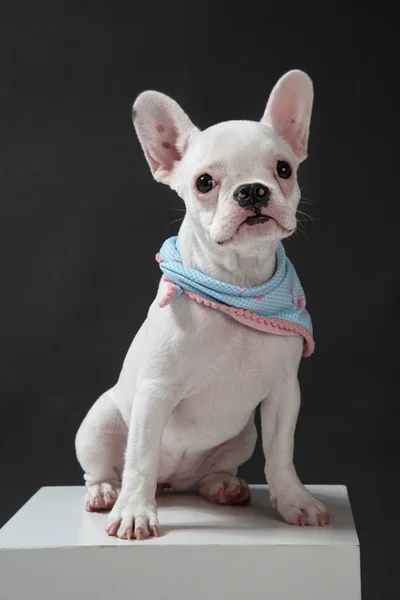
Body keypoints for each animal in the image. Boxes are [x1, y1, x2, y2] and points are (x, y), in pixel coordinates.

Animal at [76, 69, 332, 540]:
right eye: (204, 183)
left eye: (284, 169)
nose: (252, 191)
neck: (238, 287)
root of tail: (173, 482)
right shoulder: (155, 391)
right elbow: (141, 459)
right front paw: (135, 512)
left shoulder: (284, 394)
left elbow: (281, 454)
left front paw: (295, 502)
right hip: (100, 423)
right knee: (108, 468)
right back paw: (105, 493)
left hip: (242, 436)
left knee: (211, 473)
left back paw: (223, 487)